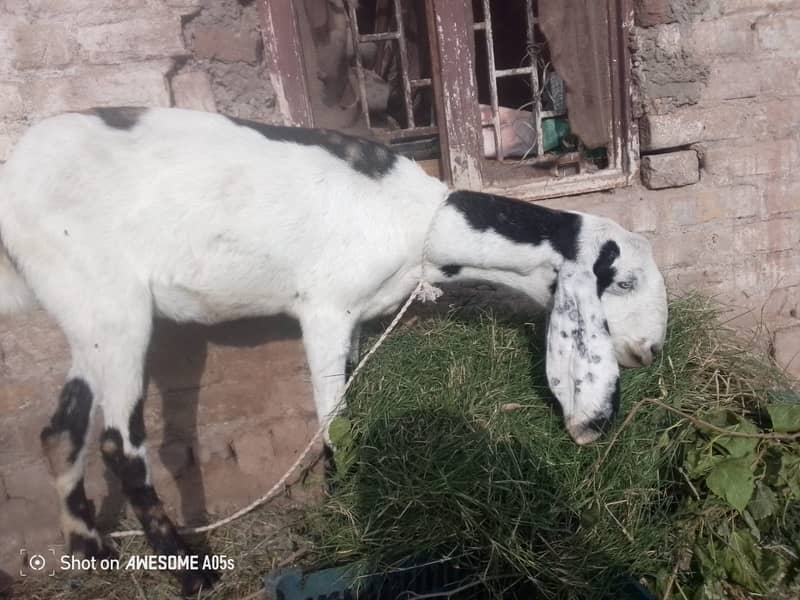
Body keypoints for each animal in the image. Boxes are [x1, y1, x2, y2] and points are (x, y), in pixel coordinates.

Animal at [0, 106, 668, 592]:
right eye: (623, 282)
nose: (654, 350)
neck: (422, 224)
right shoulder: (325, 309)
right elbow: (333, 419)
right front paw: (346, 511)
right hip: (114, 304)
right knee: (119, 443)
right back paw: (189, 574)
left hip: (85, 308)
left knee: (61, 432)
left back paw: (89, 551)